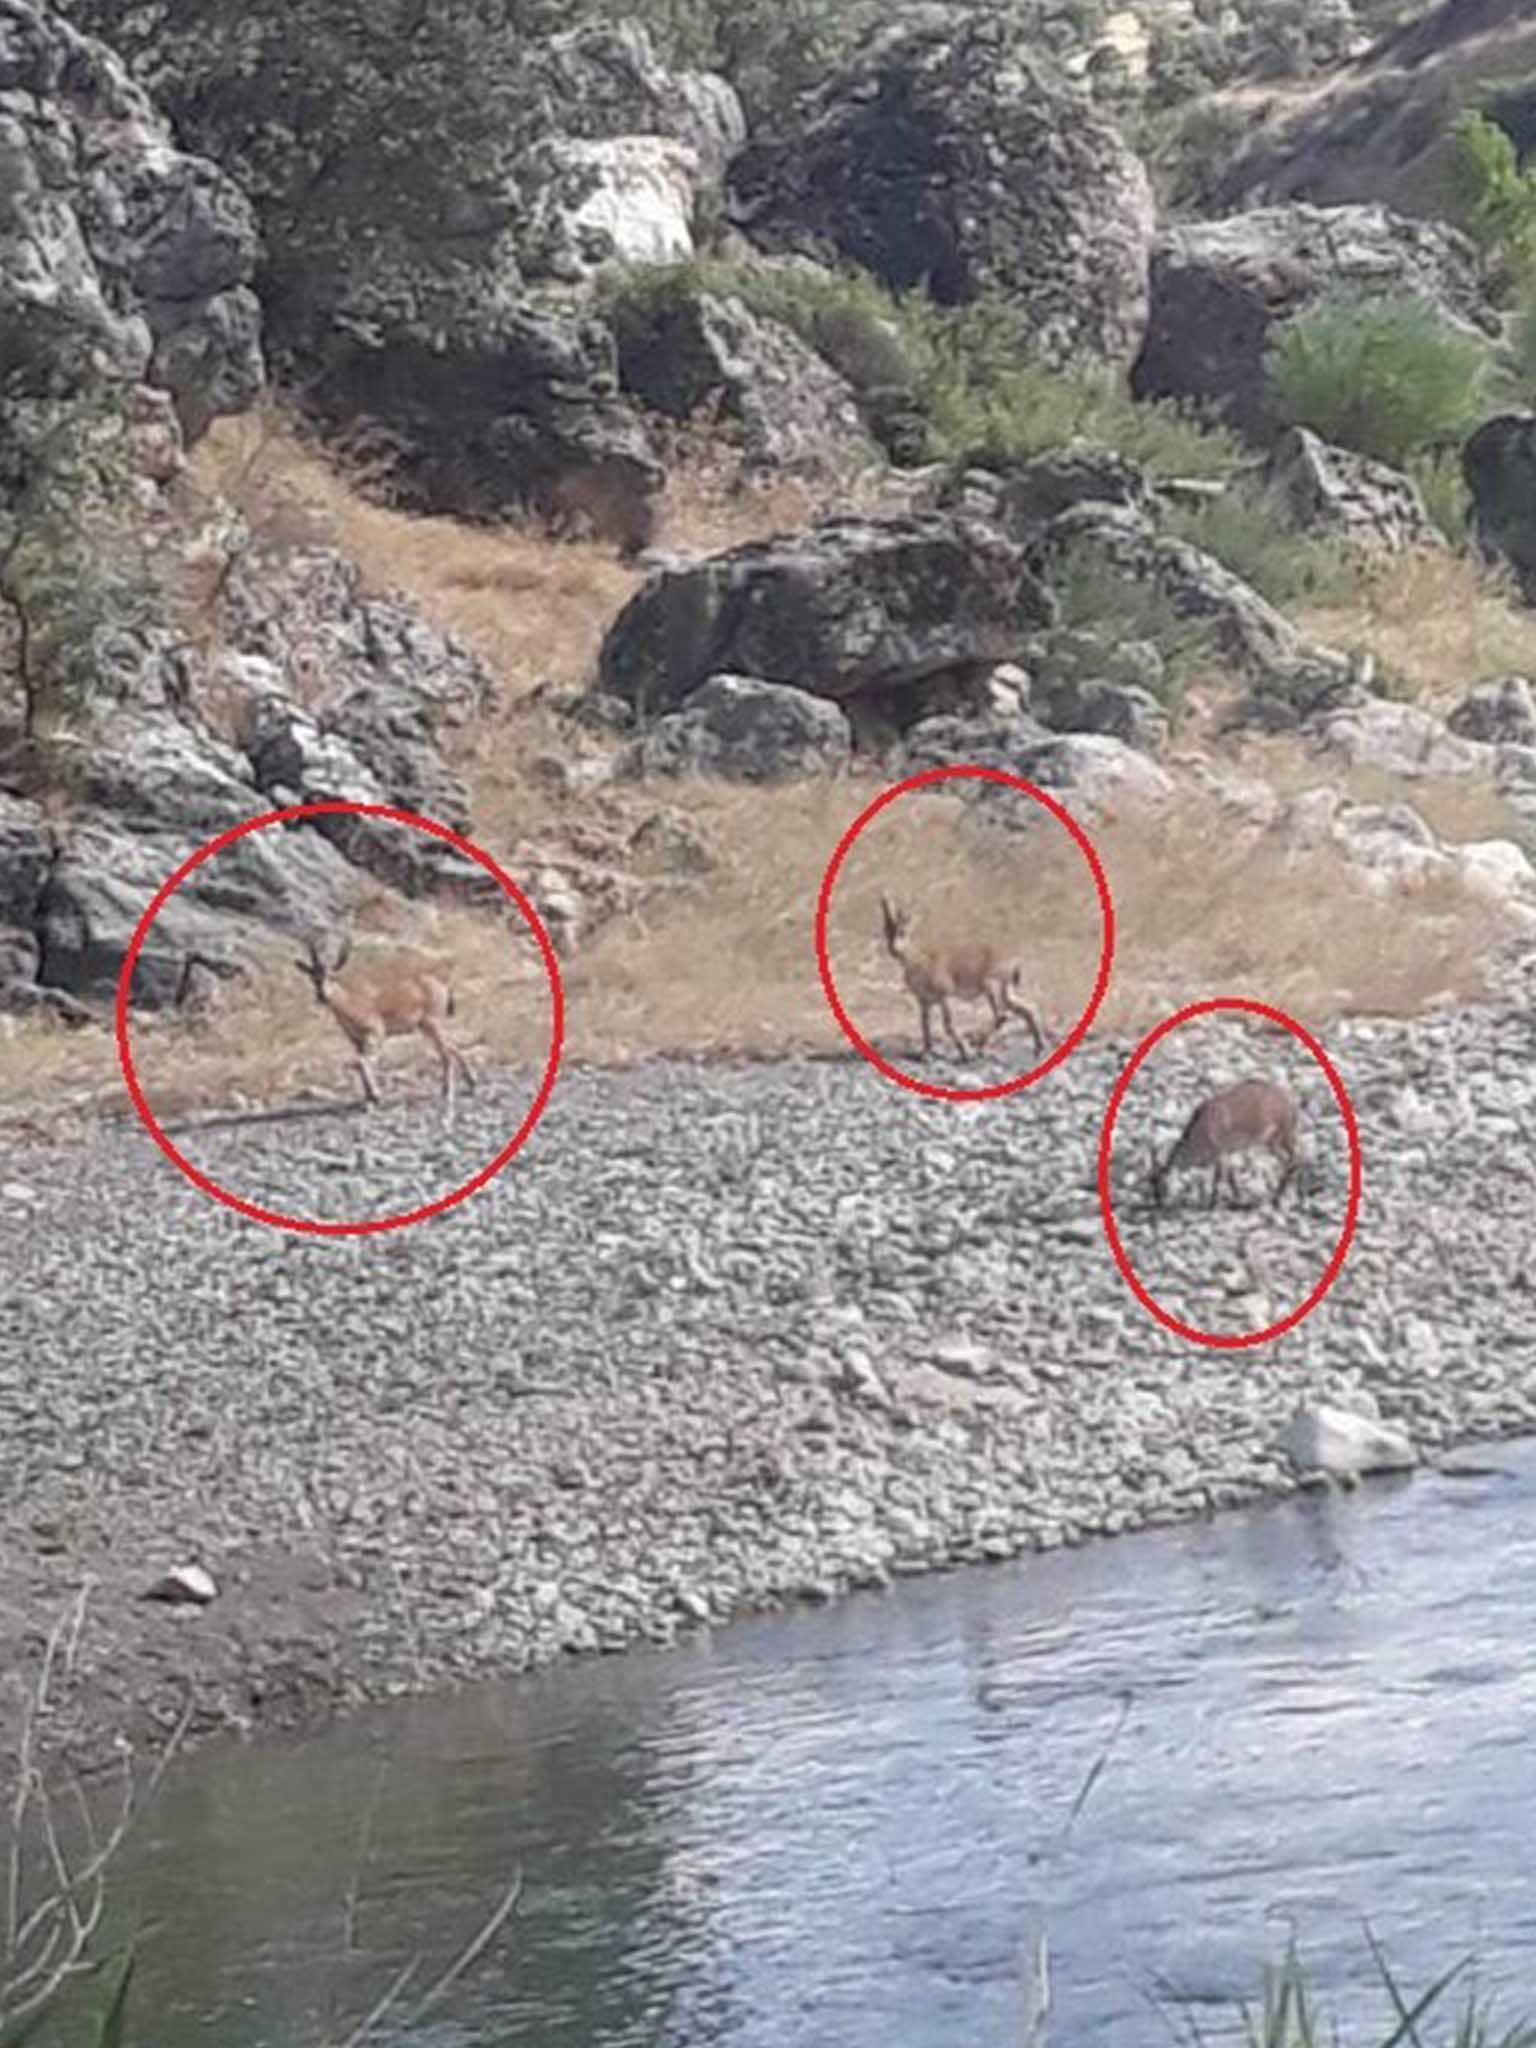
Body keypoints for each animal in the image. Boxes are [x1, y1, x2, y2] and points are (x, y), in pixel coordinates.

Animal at [292, 937, 475, 1114]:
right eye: (312, 978)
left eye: (333, 976)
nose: (322, 996)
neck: (351, 1004)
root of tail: (444, 988)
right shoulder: (356, 1040)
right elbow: (360, 1061)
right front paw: (369, 1100)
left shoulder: (376, 1033)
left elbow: (362, 1062)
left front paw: (375, 1096)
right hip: (426, 1026)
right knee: (452, 1046)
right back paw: (471, 1082)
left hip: (432, 1022)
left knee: (446, 1053)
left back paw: (448, 1092)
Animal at [876, 892, 1048, 1064]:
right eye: (886, 931)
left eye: (903, 931)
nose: (893, 950)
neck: (919, 961)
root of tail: (1014, 960)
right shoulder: (924, 1001)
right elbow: (925, 1025)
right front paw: (925, 1054)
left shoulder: (945, 996)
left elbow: (948, 1025)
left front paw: (964, 1053)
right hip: (1005, 989)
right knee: (1028, 1008)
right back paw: (1038, 1047)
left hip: (991, 985)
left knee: (1002, 1015)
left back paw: (979, 1047)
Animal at [1146, 1073, 1302, 1212]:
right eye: (1151, 1183)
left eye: (1161, 1184)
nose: (1159, 1204)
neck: (1203, 1125)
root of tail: (1289, 1103)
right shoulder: (1227, 1153)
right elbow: (1231, 1177)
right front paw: (1238, 1199)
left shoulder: (1220, 1152)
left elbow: (1219, 1178)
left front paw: (1212, 1204)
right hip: (1277, 1140)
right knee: (1293, 1160)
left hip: (1278, 1137)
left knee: (1291, 1161)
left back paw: (1276, 1200)